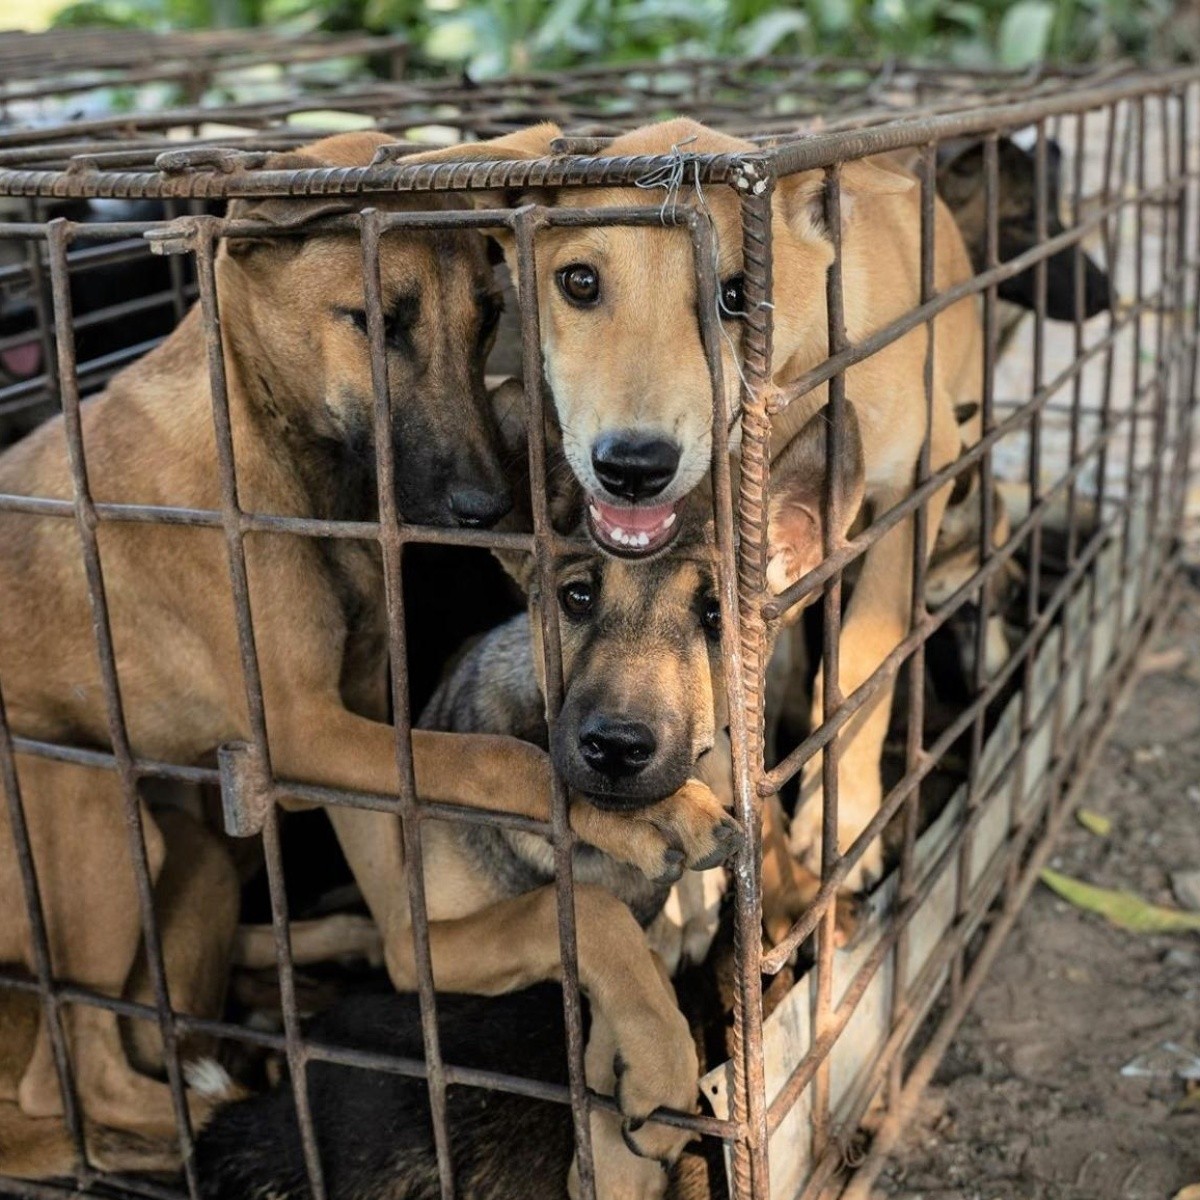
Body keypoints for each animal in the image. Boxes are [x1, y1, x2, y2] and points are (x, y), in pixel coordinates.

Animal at [0, 129, 729, 1142]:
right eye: (377, 323)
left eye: (487, 319)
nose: (489, 509)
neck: (263, 437)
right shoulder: (299, 731)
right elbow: (497, 762)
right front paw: (639, 815)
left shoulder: (361, 715)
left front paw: (520, 144)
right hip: (97, 827)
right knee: (69, 1079)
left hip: (193, 858)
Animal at [412, 121, 984, 892]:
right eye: (579, 281)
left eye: (736, 296)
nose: (632, 468)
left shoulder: (923, 472)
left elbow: (868, 649)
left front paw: (846, 815)